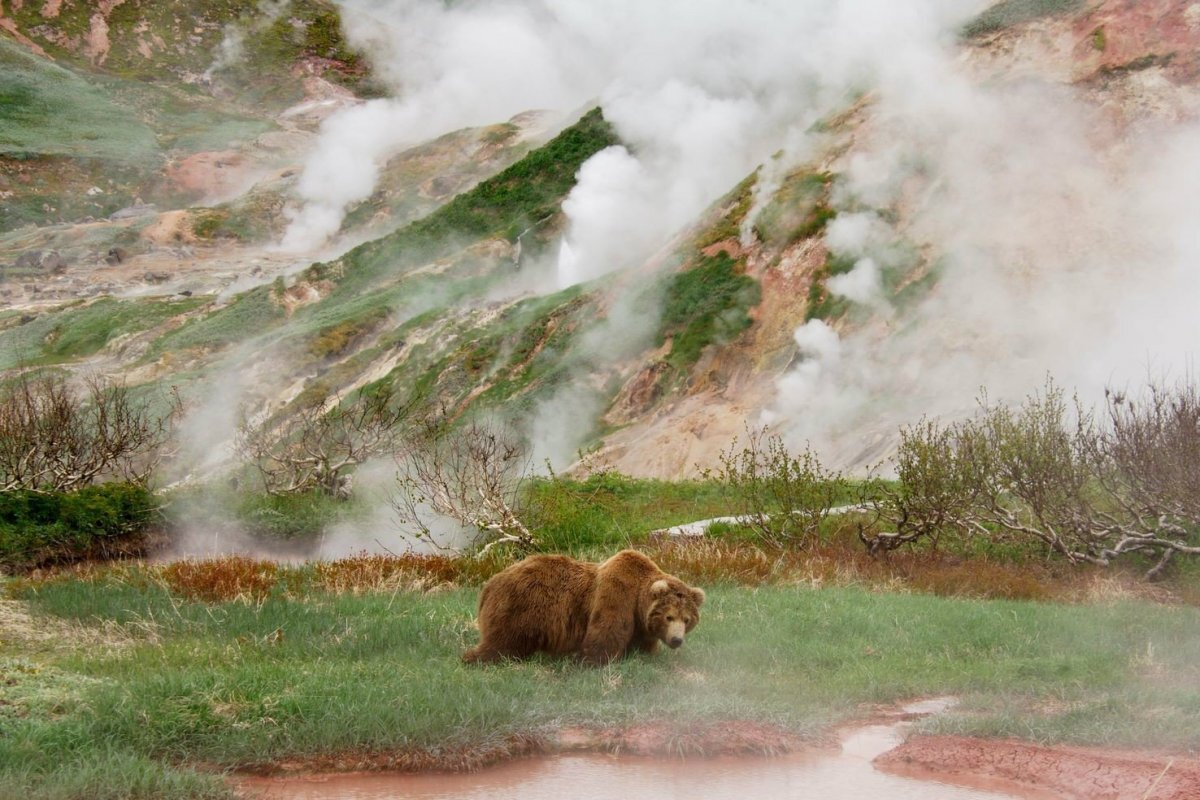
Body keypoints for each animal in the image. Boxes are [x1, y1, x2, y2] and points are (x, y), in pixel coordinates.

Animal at [458, 546, 700, 666]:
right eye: (669, 616)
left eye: (687, 619)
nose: (676, 640)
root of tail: (490, 584)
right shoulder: (616, 595)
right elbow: (604, 635)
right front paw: (585, 662)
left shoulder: (641, 626)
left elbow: (643, 646)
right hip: (519, 610)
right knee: (501, 644)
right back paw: (472, 658)